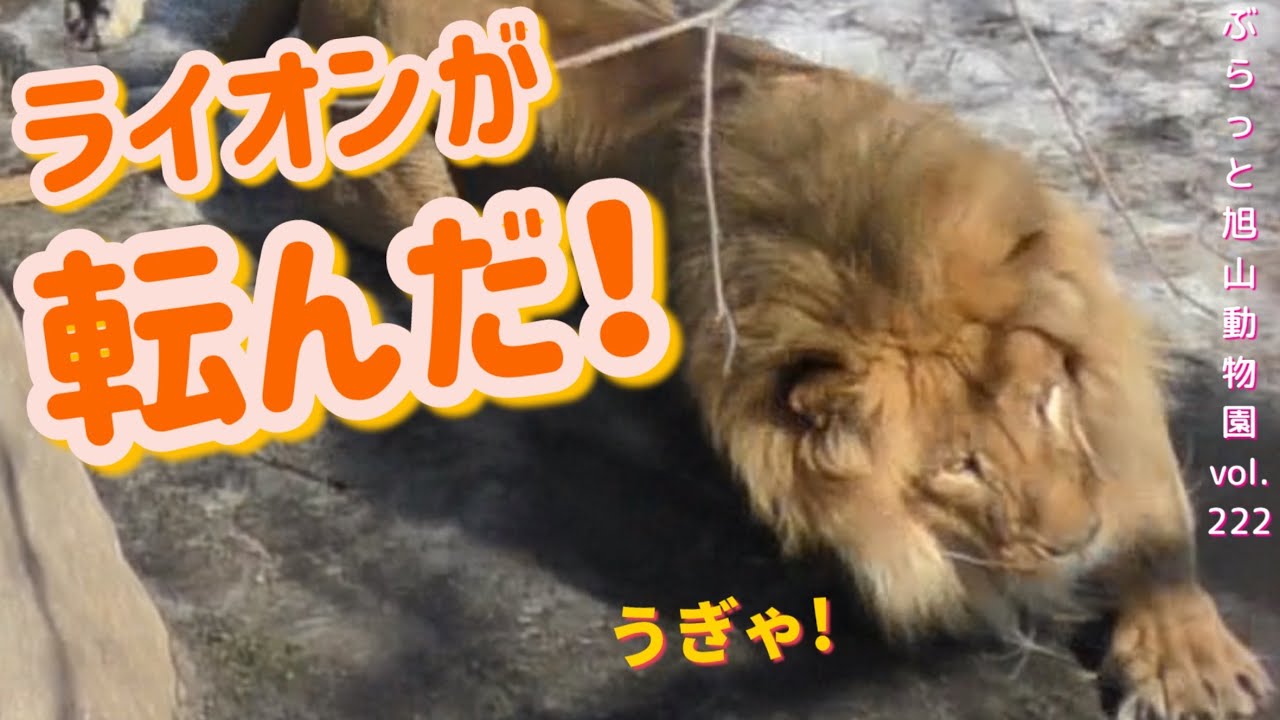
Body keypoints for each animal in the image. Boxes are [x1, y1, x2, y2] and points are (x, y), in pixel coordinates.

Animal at [61, 0, 1275, 717]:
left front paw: (1188, 655)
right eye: (957, 469)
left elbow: (1153, 520)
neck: (864, 257)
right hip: (392, 176)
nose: (1070, 536)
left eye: (1042, 407)